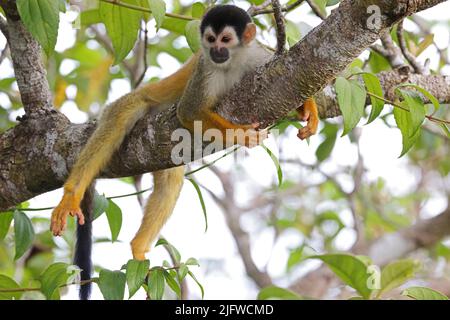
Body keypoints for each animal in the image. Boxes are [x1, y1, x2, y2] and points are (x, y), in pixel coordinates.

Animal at [50, 4, 320, 298]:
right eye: (211, 39)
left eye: (225, 39)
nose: (216, 51)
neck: (232, 63)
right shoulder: (205, 70)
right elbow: (189, 111)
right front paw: (241, 135)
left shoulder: (260, 59)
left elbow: (291, 85)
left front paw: (309, 109)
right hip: (135, 104)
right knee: (119, 119)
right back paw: (72, 195)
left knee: (170, 179)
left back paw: (138, 247)